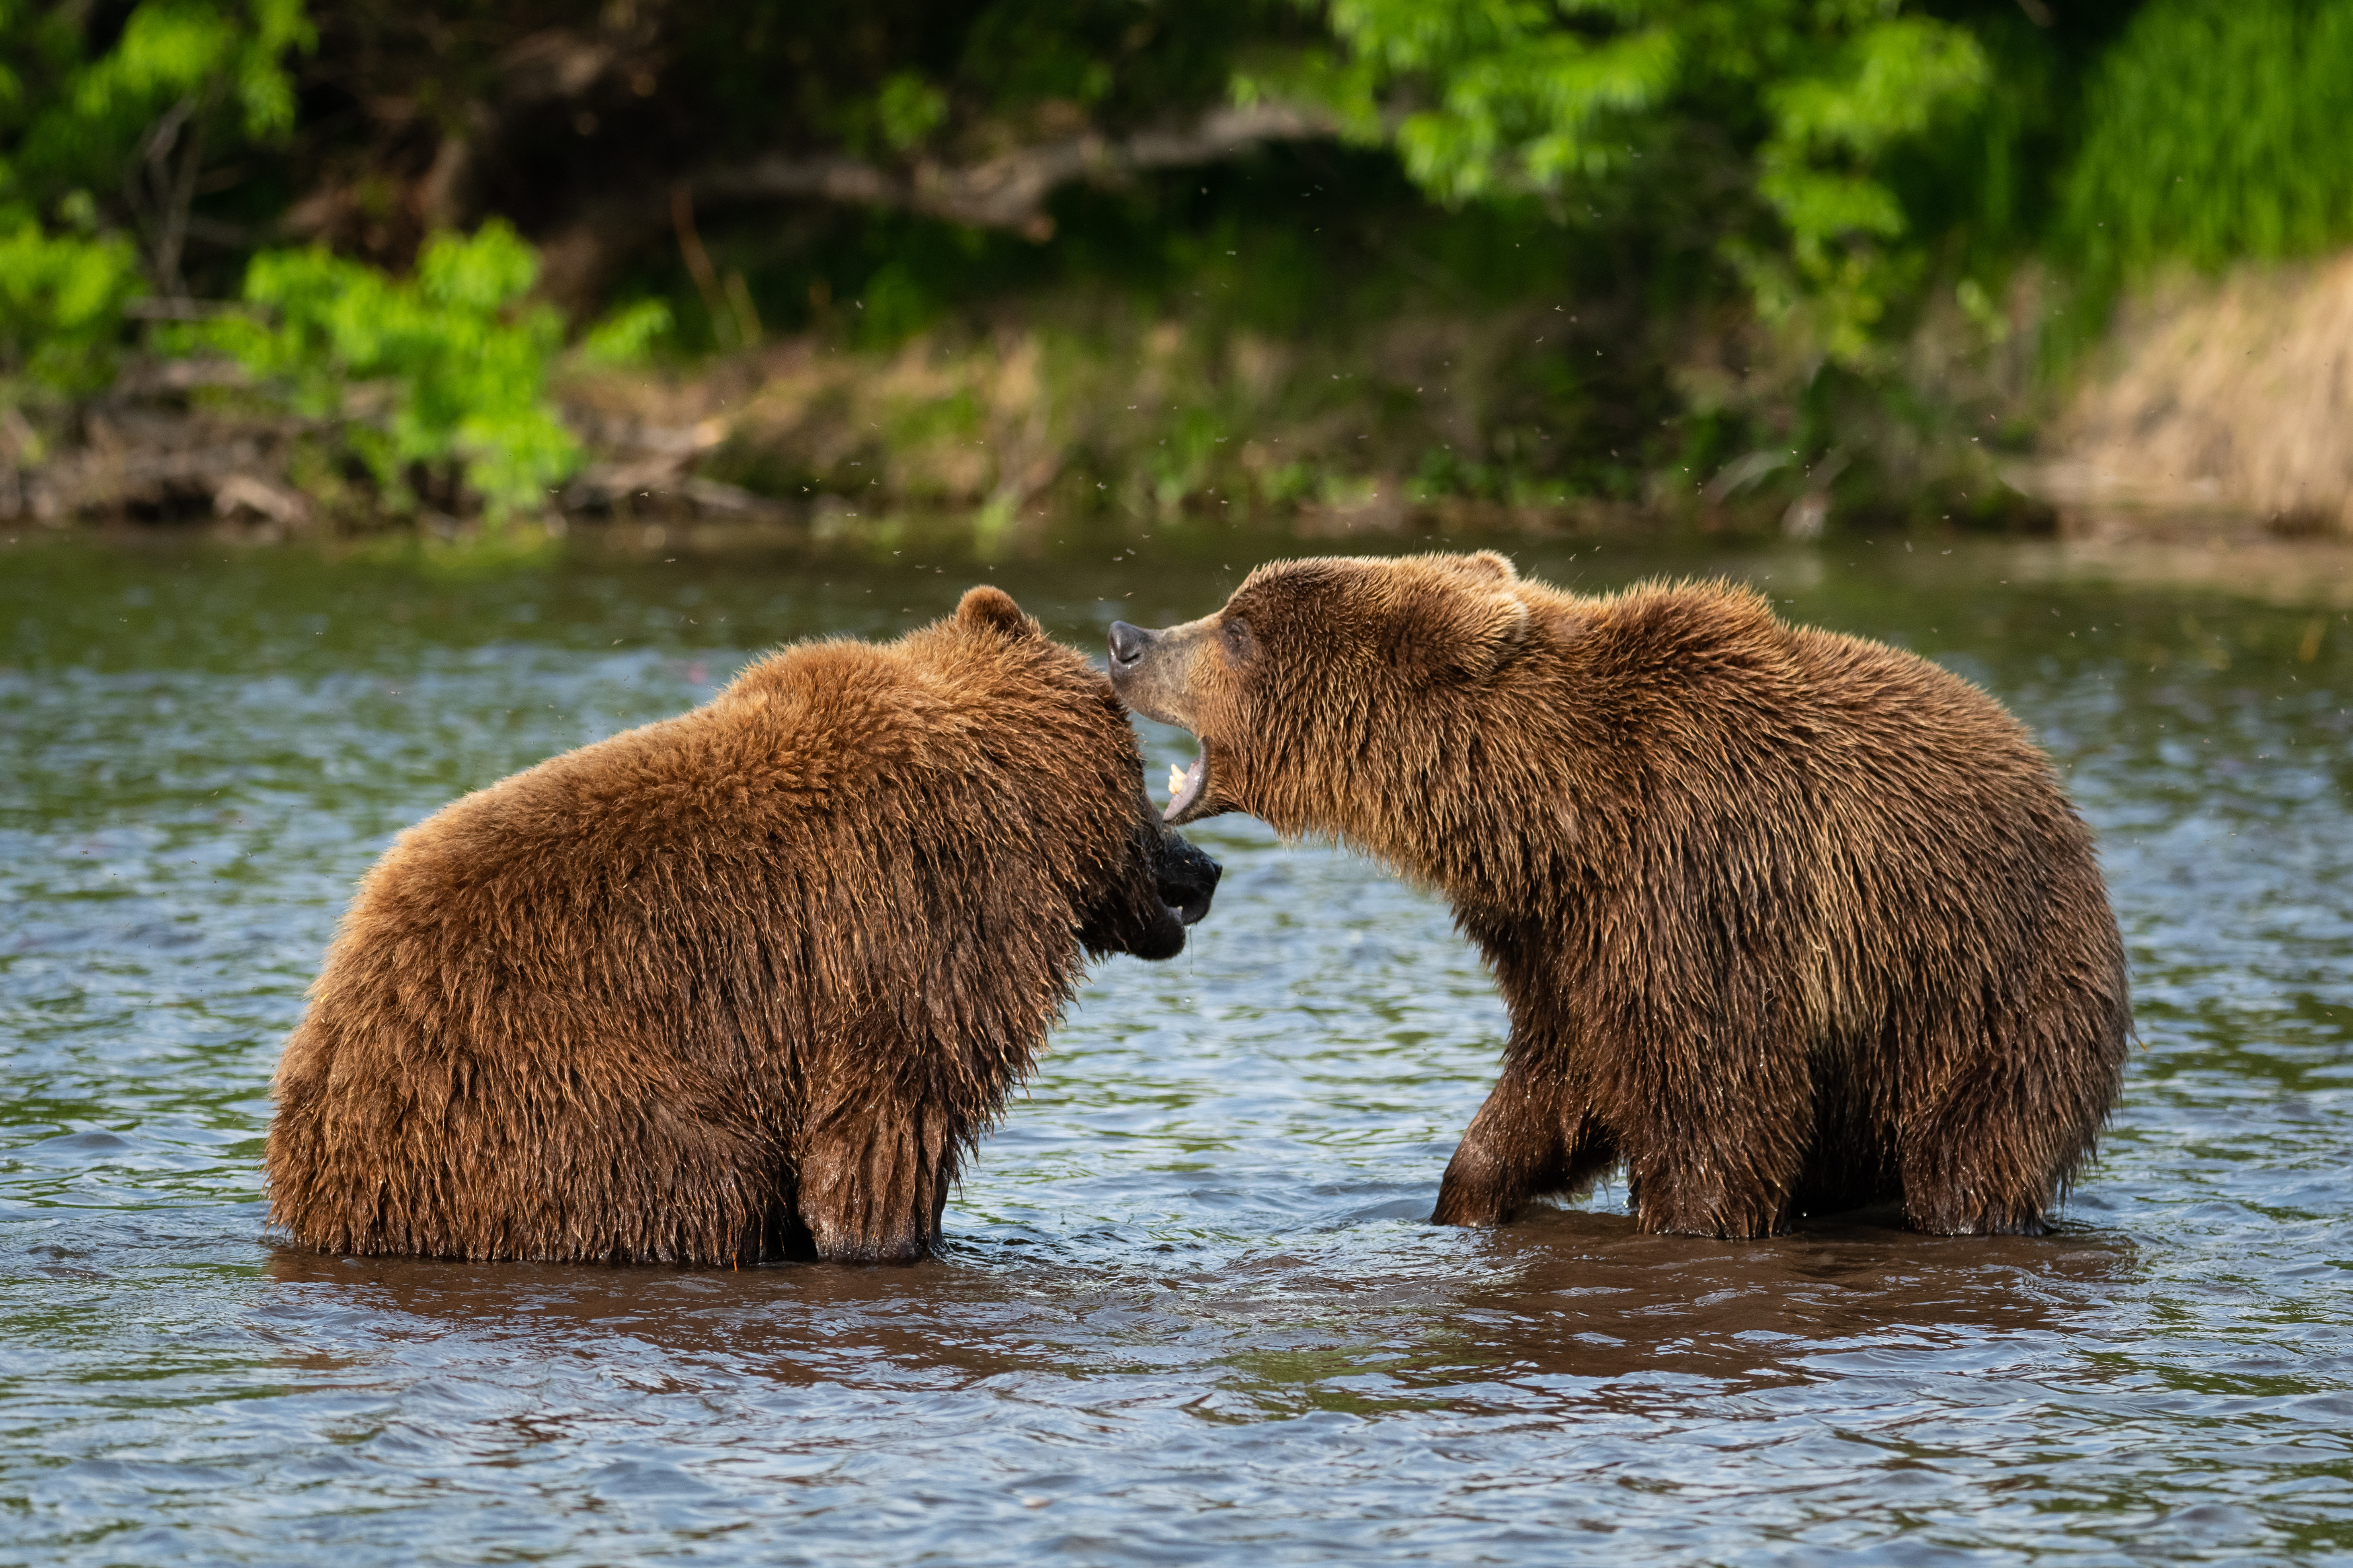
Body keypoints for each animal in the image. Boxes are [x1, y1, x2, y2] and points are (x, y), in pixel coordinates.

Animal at [269, 583, 1224, 1269]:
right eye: (1143, 783)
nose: (1203, 868)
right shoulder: (910, 941)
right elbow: (883, 1138)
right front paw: (891, 1241)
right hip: (547, 1095)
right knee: (697, 1182)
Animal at [1106, 552, 2137, 1241]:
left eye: (1237, 629)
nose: (1124, 640)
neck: (1558, 810)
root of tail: (2061, 798)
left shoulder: (1700, 883)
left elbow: (1721, 1102)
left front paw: (1685, 1218)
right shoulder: (1562, 933)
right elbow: (1559, 1078)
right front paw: (1465, 1194)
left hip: (1983, 998)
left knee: (1969, 1160)